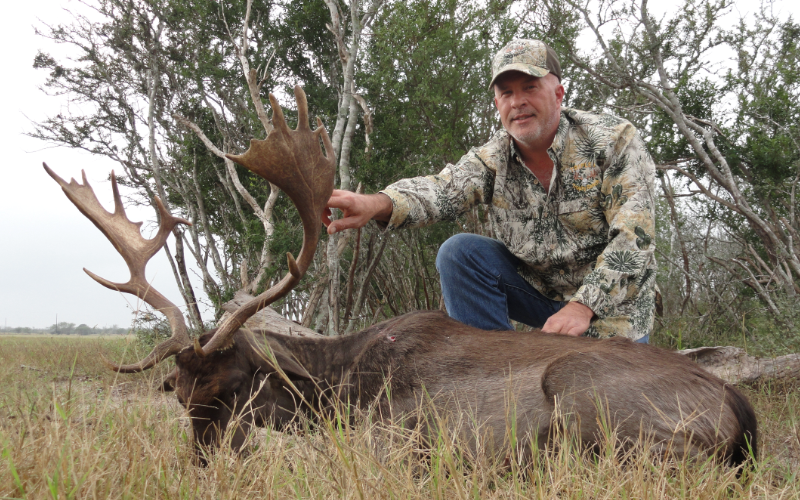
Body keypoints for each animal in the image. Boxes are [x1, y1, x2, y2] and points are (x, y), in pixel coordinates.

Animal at [43, 85, 756, 468]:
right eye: (180, 393)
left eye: (233, 385)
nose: (198, 466)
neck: (338, 384)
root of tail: (741, 414)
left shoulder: (393, 435)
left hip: (589, 403)